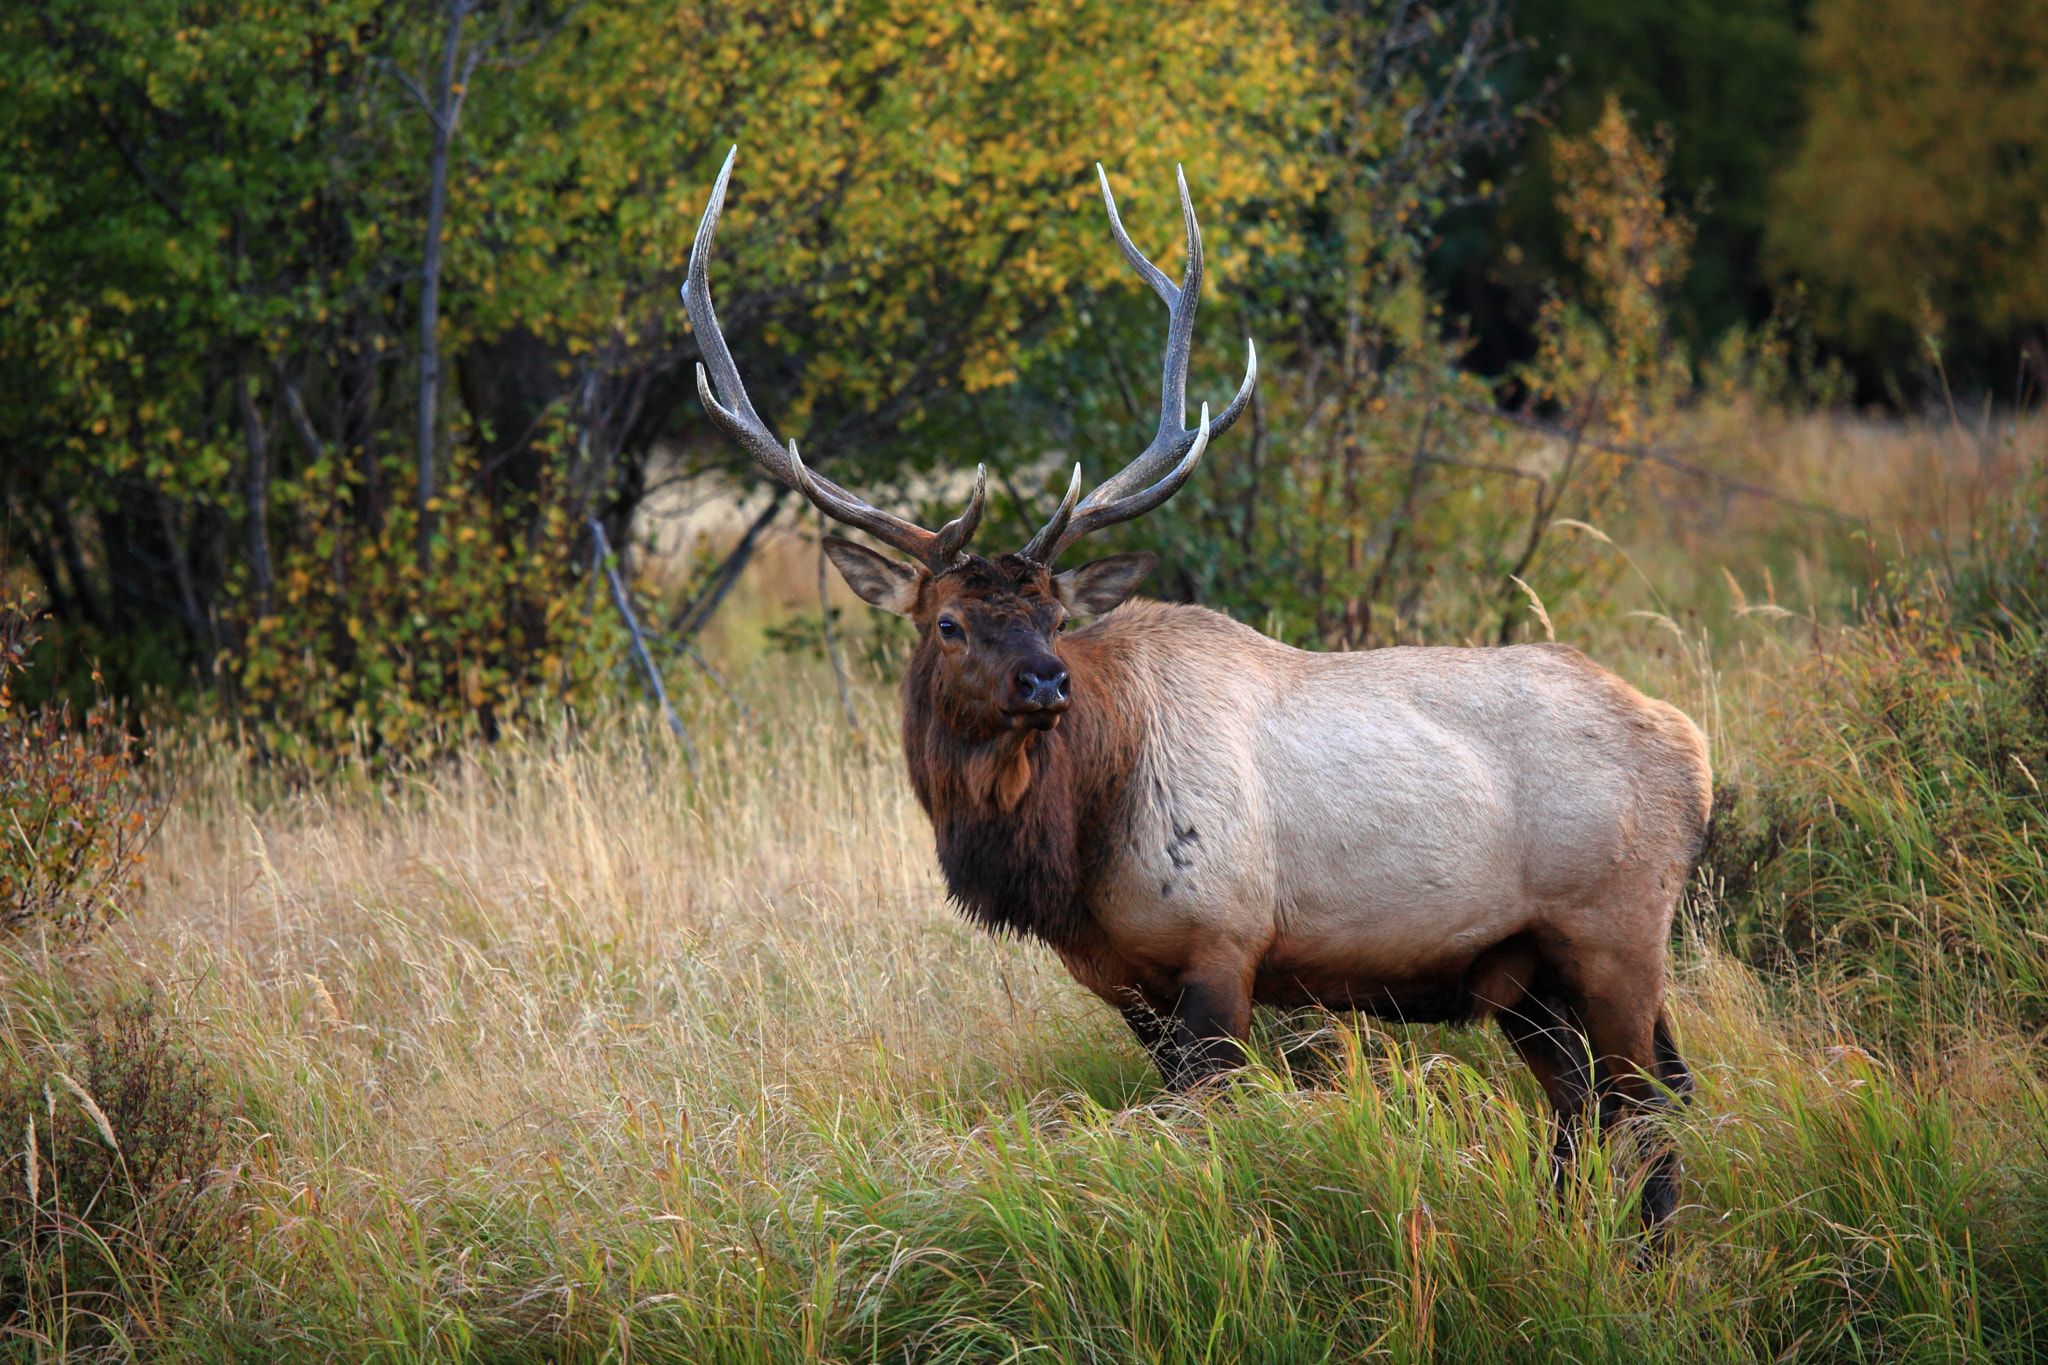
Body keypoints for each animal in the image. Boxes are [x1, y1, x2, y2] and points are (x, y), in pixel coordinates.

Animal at [684, 152, 1712, 1236]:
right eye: (948, 623)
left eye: (1055, 614)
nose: (1045, 681)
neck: (1072, 846)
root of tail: (1692, 747)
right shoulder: (1125, 982)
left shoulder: (1222, 943)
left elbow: (1207, 1133)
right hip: (1521, 974)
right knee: (1588, 1109)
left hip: (1616, 930)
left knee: (1647, 1106)